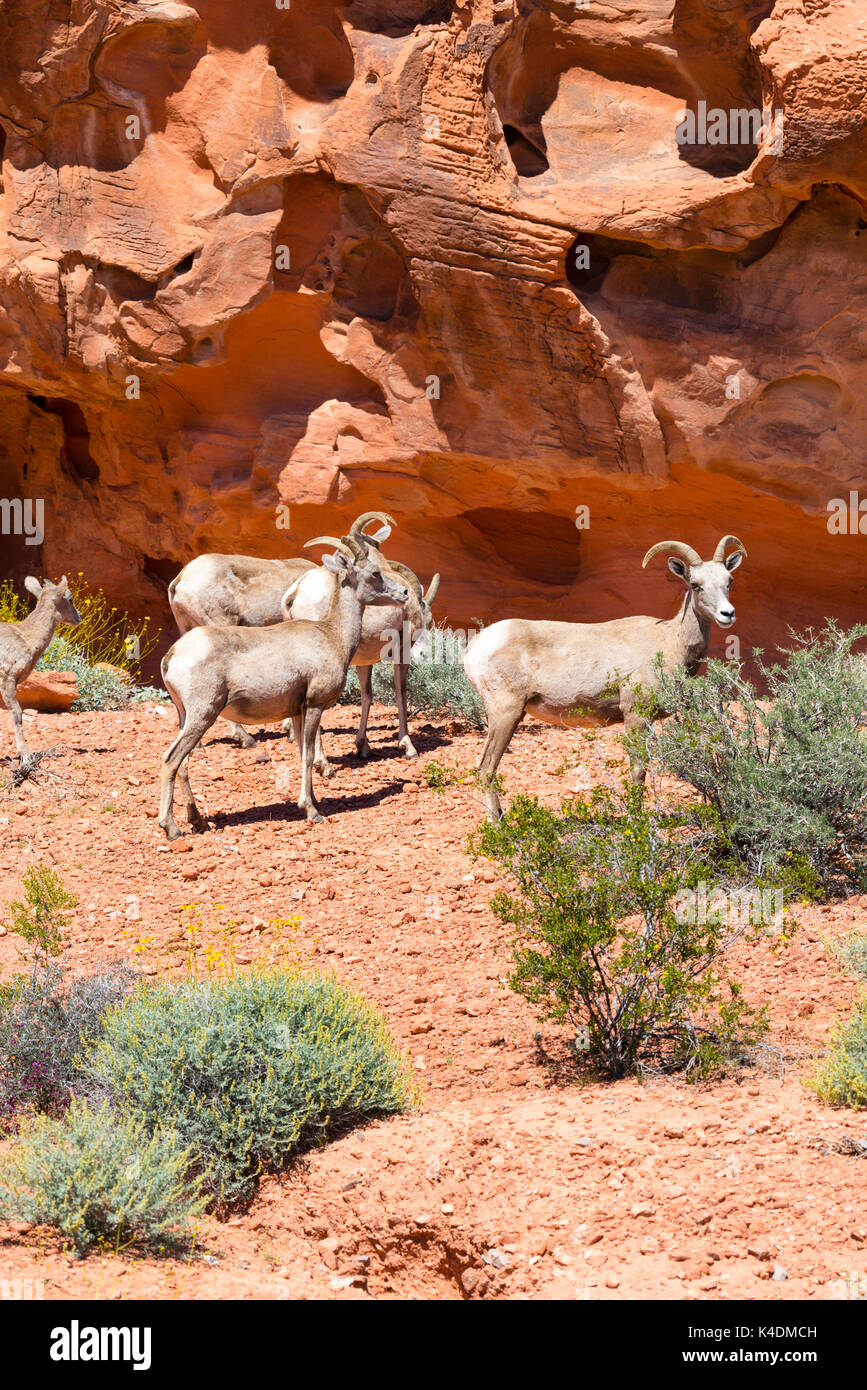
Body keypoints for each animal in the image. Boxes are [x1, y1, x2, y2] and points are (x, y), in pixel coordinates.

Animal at [0, 575, 81, 761]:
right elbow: (17, 713)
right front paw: (25, 754)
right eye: (70, 599)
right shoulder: (8, 679)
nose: (79, 617)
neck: (27, 638)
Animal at [158, 530, 408, 834]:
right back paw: (171, 828)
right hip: (202, 714)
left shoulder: (297, 711)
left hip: (185, 716)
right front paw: (312, 811)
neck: (333, 635)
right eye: (374, 573)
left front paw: (312, 801)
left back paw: (198, 821)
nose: (404, 593)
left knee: (182, 763)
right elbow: (309, 755)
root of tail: (173, 655)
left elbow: (302, 751)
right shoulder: (313, 706)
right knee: (171, 760)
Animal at [280, 511, 439, 772]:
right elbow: (401, 691)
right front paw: (408, 747)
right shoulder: (402, 651)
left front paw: (363, 747)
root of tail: (296, 592)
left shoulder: (363, 661)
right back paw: (323, 763)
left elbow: (367, 696)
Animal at [464, 528, 750, 811]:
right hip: (506, 713)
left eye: (729, 581)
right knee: (485, 769)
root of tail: (474, 649)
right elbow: (638, 771)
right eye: (695, 585)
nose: (728, 613)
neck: (671, 642)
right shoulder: (635, 714)